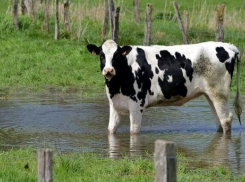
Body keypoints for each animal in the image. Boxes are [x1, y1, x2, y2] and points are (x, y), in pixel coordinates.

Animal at [87, 39, 242, 134]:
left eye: (117, 56)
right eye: (101, 55)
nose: (108, 70)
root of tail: (227, 46)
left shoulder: (137, 105)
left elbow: (134, 131)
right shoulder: (114, 104)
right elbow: (110, 130)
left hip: (219, 93)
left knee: (226, 119)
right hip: (210, 94)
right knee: (218, 120)